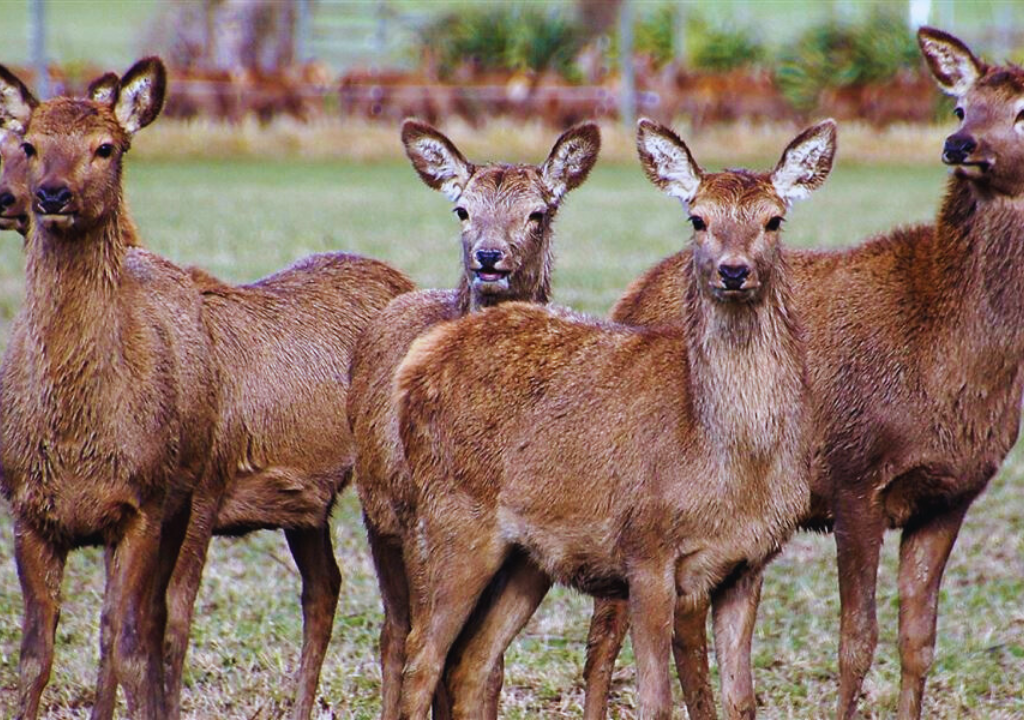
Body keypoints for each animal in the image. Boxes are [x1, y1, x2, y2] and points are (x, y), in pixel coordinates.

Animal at [347, 118, 600, 720]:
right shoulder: (416, 519)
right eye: (462, 209)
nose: (488, 257)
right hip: (382, 516)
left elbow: (487, 666)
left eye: (538, 213)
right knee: (396, 637)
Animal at [389, 119, 837, 720]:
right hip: (450, 515)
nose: (733, 271)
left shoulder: (748, 563)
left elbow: (741, 700)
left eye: (774, 219)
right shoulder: (646, 548)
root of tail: (419, 360)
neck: (726, 459)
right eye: (697, 218)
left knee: (473, 659)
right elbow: (657, 700)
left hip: (527, 555)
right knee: (421, 656)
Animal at [580, 26, 1024, 720]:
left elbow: (919, 640)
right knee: (605, 629)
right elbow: (856, 640)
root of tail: (630, 295)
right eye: (960, 107)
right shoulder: (855, 473)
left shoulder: (952, 493)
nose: (960, 145)